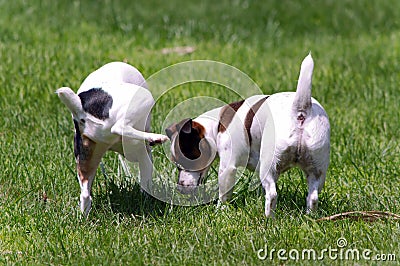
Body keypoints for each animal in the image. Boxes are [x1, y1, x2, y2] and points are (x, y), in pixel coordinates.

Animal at [57, 61, 168, 216]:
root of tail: (81, 108)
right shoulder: (143, 155)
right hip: (143, 98)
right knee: (119, 127)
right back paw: (156, 137)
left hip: (87, 158)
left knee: (85, 194)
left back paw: (84, 217)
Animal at [164, 53, 330, 216]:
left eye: (186, 161)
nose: (180, 188)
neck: (217, 125)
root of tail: (301, 110)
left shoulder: (228, 168)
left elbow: (224, 195)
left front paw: (219, 211)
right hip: (317, 170)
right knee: (312, 197)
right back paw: (309, 217)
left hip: (269, 165)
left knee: (272, 194)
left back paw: (268, 219)